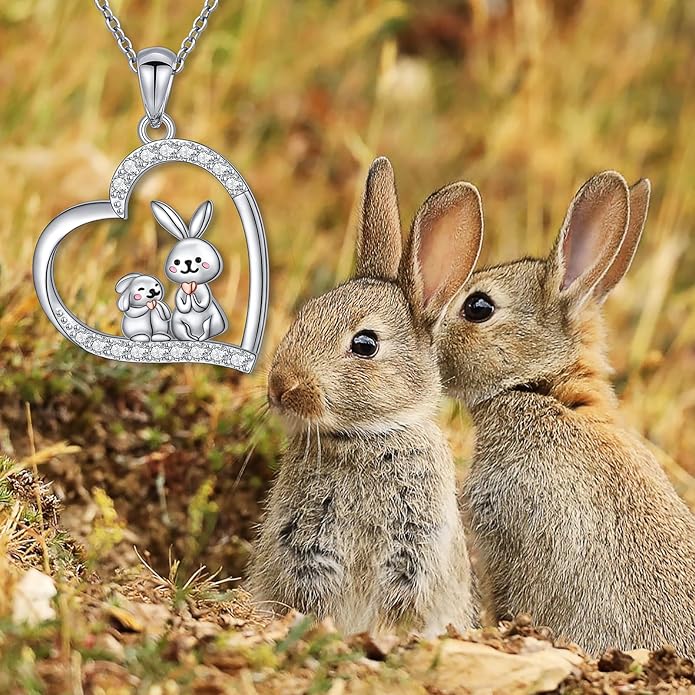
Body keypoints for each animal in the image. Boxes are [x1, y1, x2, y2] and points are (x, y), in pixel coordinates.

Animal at [152, 199, 229, 342]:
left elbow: (202, 301)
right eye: (176, 262)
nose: (188, 262)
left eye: (198, 259)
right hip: (178, 325)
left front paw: (192, 295)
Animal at [247, 158, 479, 637]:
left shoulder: (416, 550)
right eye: (305, 313)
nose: (281, 386)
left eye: (365, 344)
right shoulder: (305, 545)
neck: (366, 438)